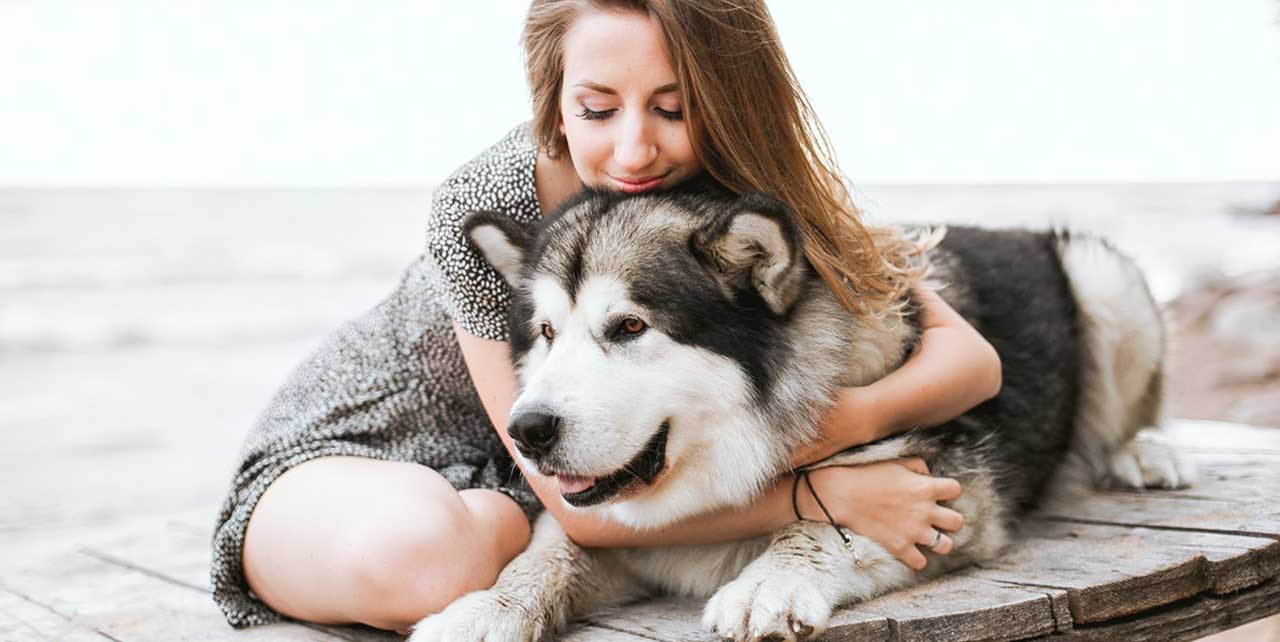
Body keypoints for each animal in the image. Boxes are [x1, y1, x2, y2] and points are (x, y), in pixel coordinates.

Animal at [407, 185, 1187, 642]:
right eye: (545, 332)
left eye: (628, 327)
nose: (526, 432)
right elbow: (549, 551)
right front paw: (488, 607)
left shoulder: (955, 498)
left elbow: (826, 521)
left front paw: (772, 581)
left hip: (1102, 280)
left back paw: (1140, 452)